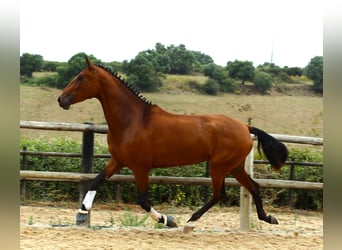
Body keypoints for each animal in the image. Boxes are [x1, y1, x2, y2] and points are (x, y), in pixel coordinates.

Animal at [57, 56, 288, 232]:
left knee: (219, 194)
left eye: (80, 77)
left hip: (219, 166)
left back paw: (189, 222)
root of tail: (245, 127)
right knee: (254, 187)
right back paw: (269, 218)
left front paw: (168, 220)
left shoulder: (141, 167)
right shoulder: (118, 161)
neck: (133, 120)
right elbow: (95, 181)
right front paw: (82, 210)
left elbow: (142, 200)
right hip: (235, 166)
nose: (61, 100)